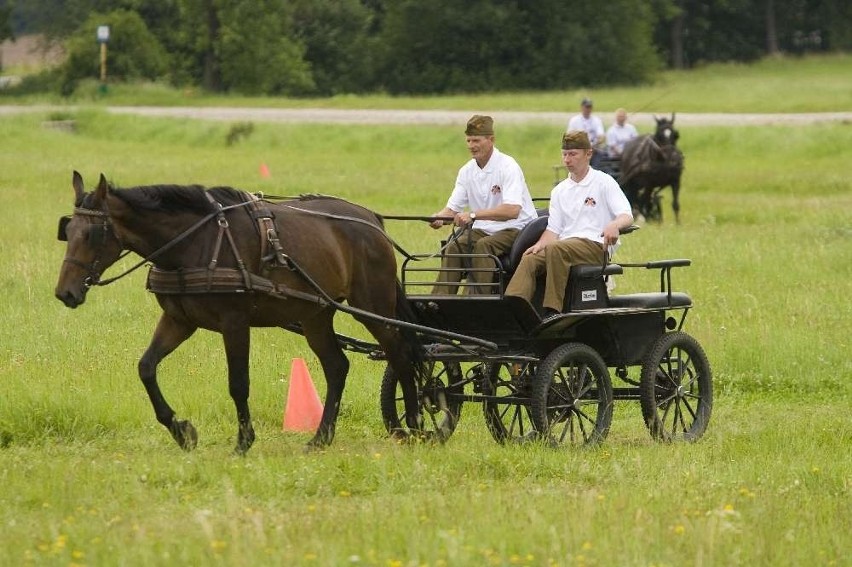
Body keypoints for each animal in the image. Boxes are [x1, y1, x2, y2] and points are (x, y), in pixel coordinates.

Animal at [55, 171, 422, 454]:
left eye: (93, 233)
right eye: (67, 231)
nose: (65, 293)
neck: (196, 242)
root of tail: (372, 220)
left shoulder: (234, 322)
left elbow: (238, 383)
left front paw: (244, 441)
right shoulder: (179, 320)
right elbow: (146, 368)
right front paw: (182, 431)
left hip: (372, 306)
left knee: (401, 355)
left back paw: (416, 425)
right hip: (315, 314)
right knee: (337, 367)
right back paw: (321, 438)